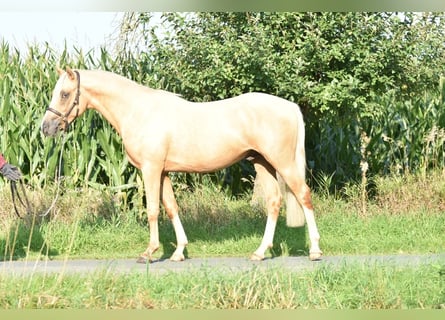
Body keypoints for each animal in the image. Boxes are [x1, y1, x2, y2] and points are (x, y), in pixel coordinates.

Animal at [40, 67, 320, 262]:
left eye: (64, 94)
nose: (46, 128)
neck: (139, 111)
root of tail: (290, 106)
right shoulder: (163, 172)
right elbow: (171, 207)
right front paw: (178, 252)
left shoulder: (151, 169)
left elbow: (153, 209)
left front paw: (149, 252)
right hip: (263, 163)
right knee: (274, 203)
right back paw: (260, 253)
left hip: (283, 163)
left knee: (304, 195)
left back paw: (315, 251)